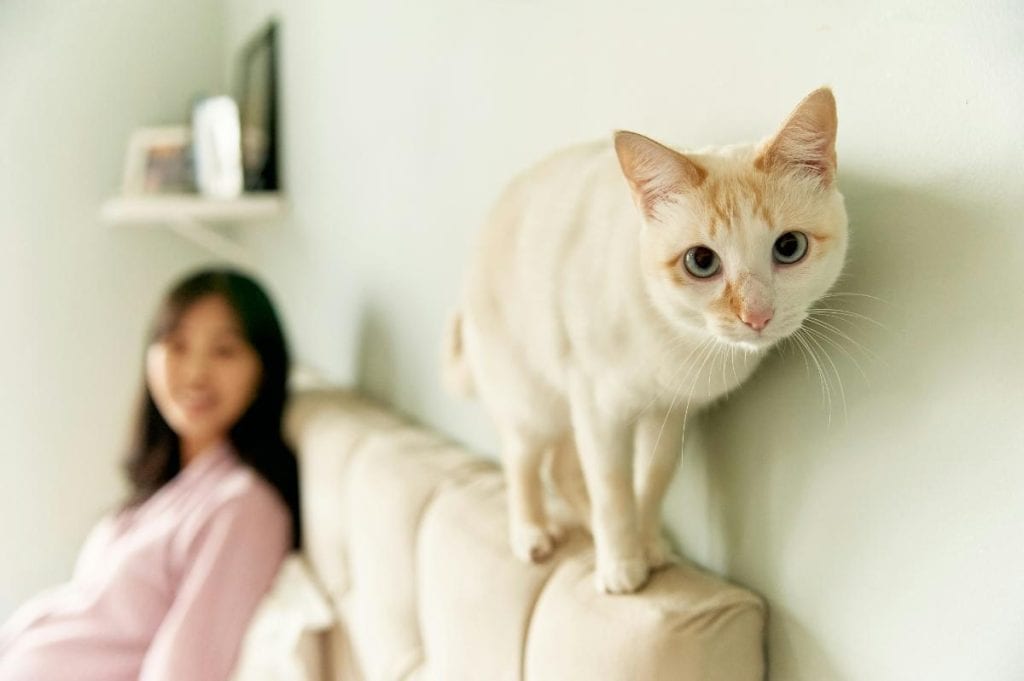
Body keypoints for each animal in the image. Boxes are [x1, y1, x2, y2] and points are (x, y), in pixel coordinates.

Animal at [444, 87, 851, 593]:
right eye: (701, 262)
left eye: (789, 247)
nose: (756, 315)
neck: (679, 337)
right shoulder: (599, 408)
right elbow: (613, 490)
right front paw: (622, 566)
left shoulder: (670, 413)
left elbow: (653, 481)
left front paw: (650, 545)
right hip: (531, 398)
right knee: (521, 459)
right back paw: (532, 533)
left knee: (561, 466)